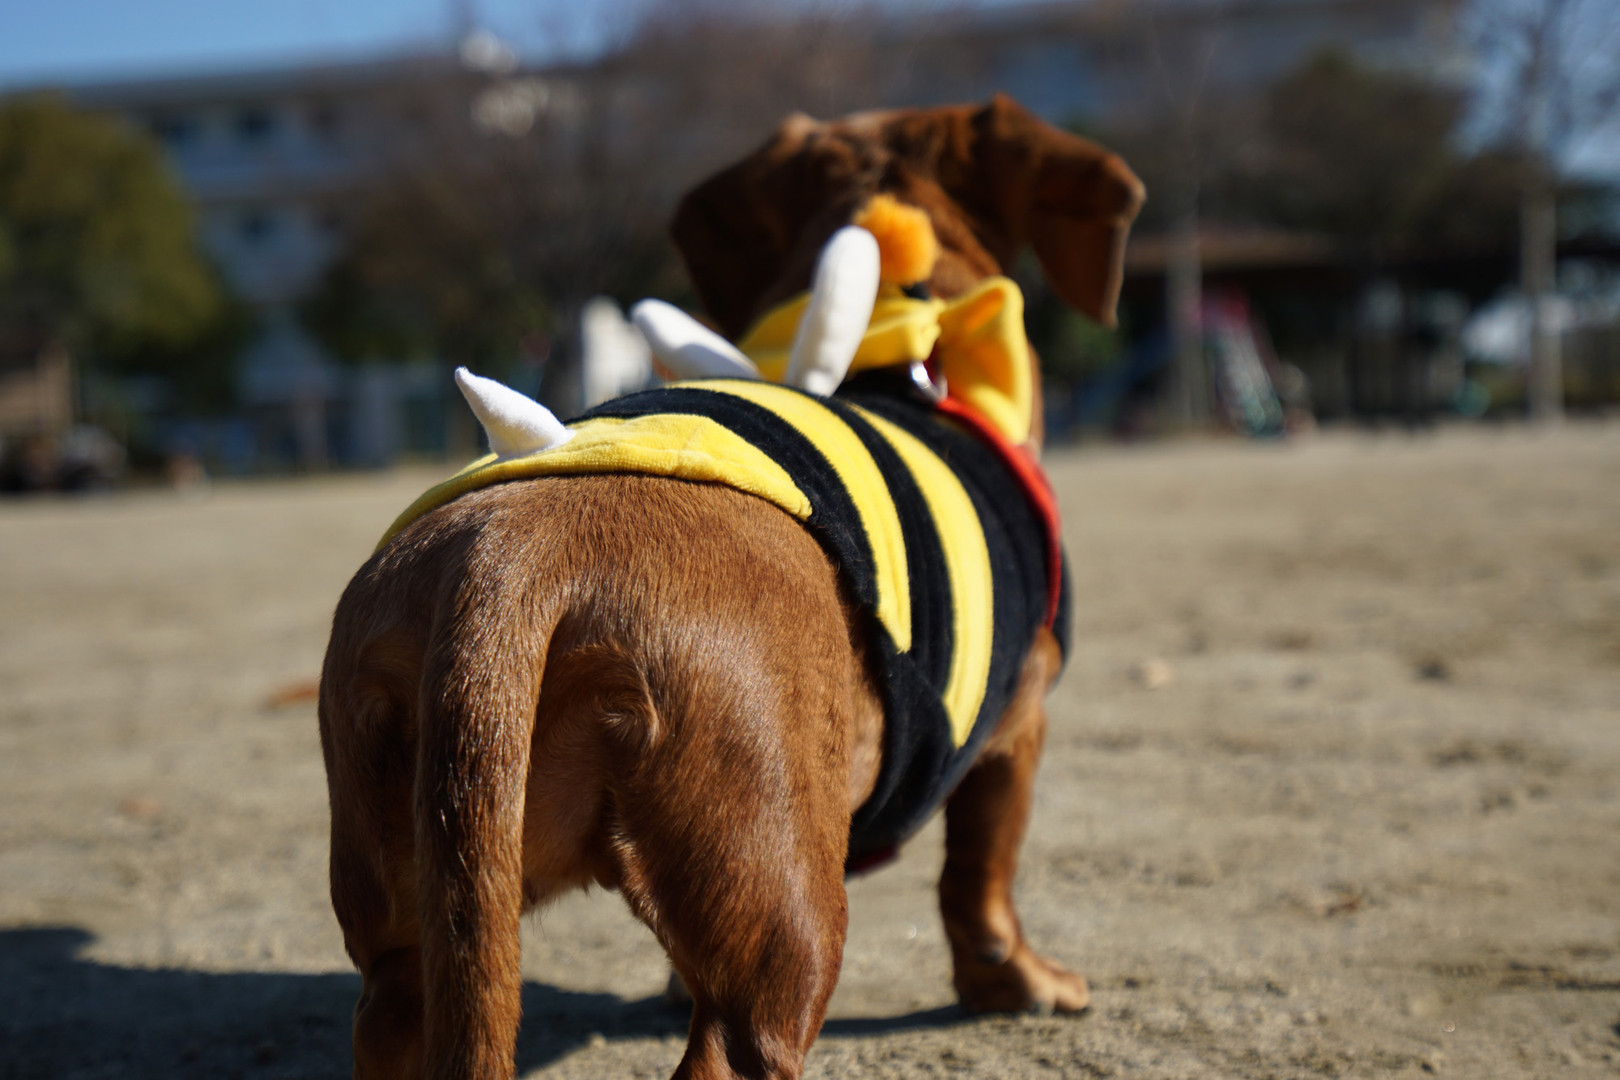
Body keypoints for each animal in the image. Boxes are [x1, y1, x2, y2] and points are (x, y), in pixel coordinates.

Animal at [319, 94, 1143, 1080]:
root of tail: (514, 560)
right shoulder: (1013, 731)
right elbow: (980, 881)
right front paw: (1017, 982)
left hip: (409, 935)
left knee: (396, 999)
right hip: (781, 943)